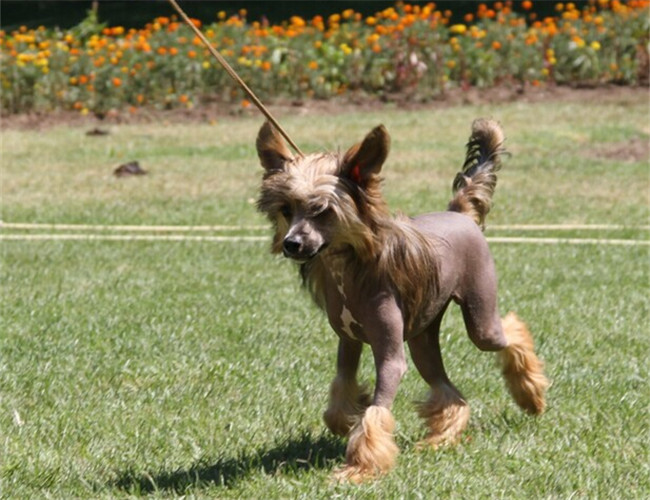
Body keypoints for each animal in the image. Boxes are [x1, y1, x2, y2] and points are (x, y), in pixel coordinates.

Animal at [253, 117, 548, 480]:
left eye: (321, 210)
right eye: (286, 209)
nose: (291, 244)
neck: (351, 267)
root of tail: (459, 212)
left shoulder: (390, 354)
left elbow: (378, 410)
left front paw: (360, 466)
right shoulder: (348, 342)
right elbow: (342, 386)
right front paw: (347, 417)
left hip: (481, 318)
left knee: (509, 333)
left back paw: (531, 395)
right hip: (423, 335)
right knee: (448, 390)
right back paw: (442, 437)